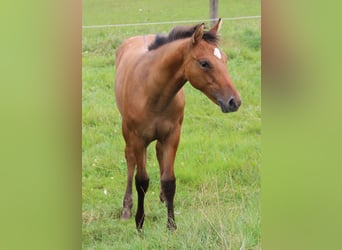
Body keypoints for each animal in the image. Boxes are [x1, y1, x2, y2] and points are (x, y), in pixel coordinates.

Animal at [114, 18, 240, 230]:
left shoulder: (173, 135)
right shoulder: (138, 138)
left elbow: (169, 180)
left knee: (157, 152)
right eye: (204, 63)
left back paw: (162, 198)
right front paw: (139, 222)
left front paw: (171, 225)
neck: (152, 92)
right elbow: (142, 181)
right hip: (128, 132)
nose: (234, 102)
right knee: (130, 158)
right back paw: (126, 208)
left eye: (225, 59)